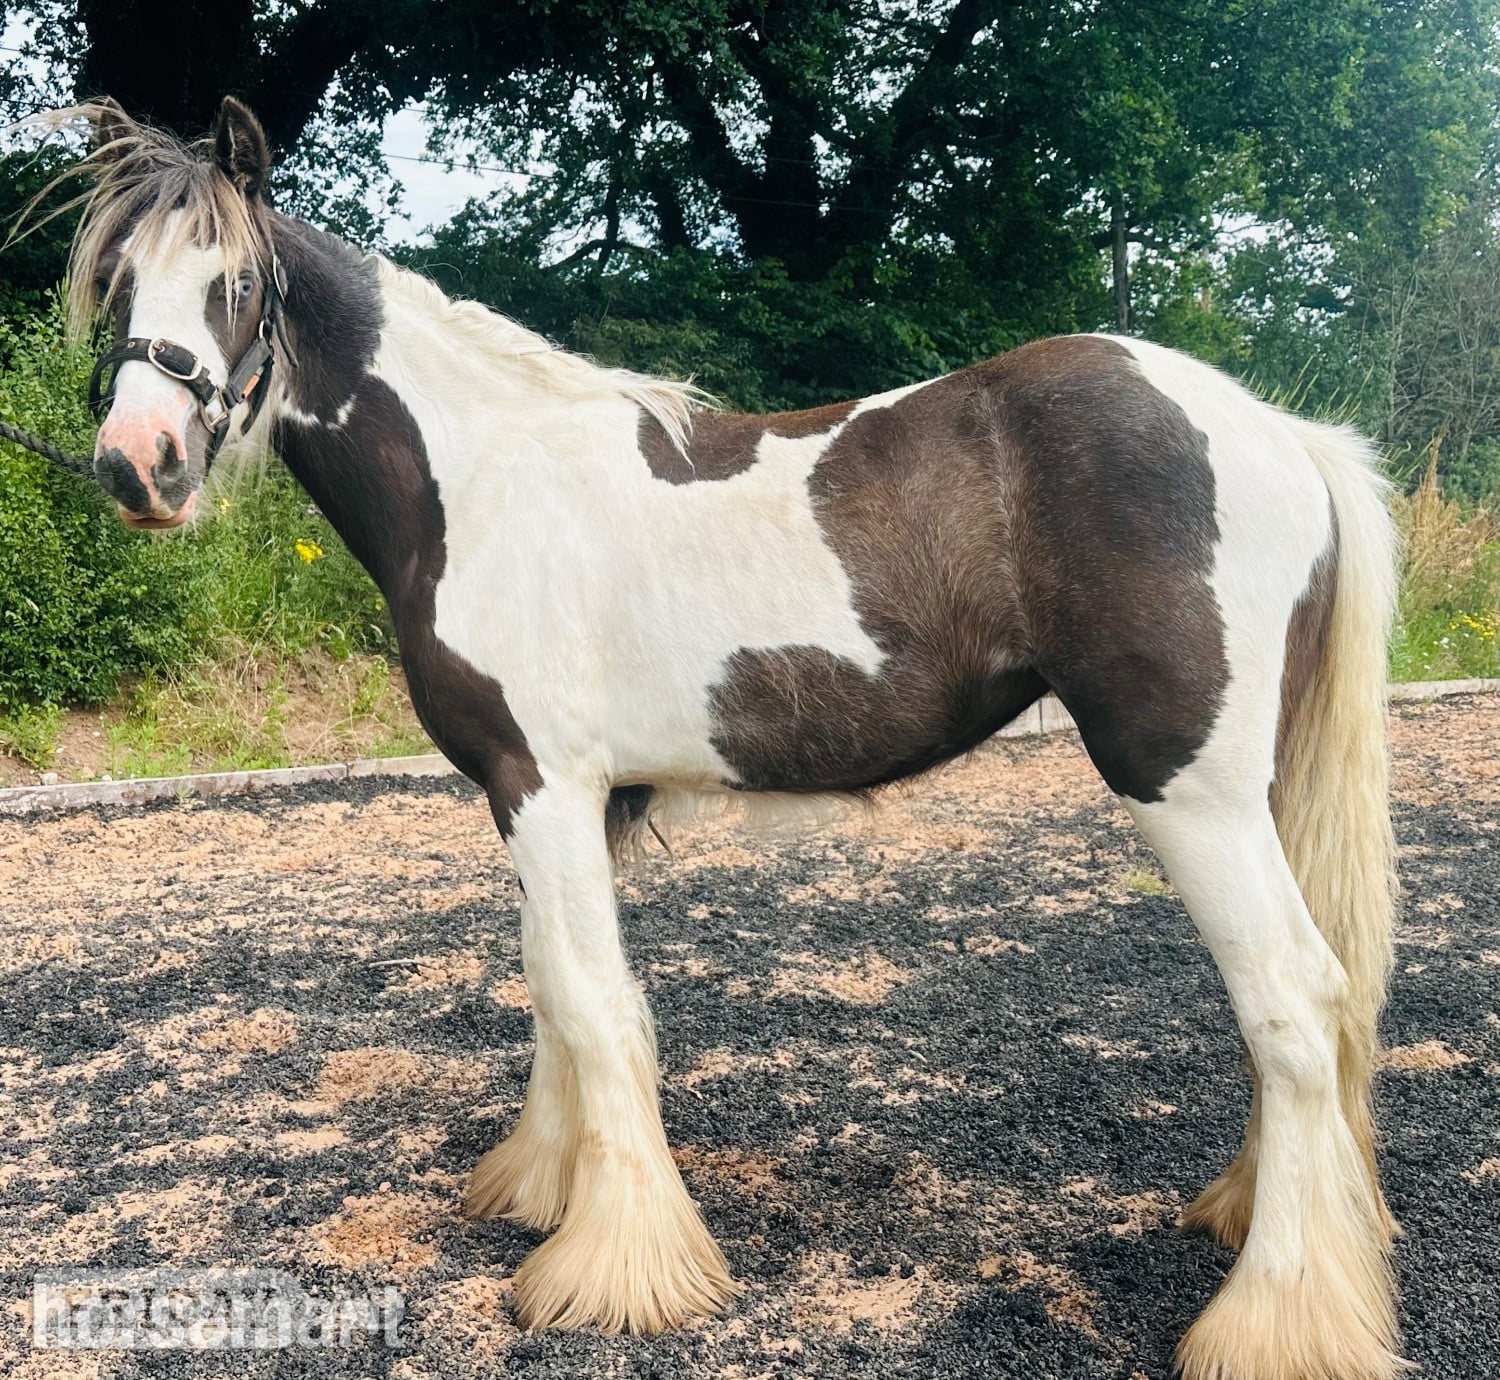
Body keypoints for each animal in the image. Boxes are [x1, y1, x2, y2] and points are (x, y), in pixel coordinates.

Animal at [45, 95, 1404, 1379]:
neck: (482, 483)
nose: (136, 466)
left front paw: (615, 1270)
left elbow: (591, 1001)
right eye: (118, 280)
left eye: (236, 280)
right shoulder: (554, 800)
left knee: (1292, 1003)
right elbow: (552, 986)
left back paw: (1275, 1320)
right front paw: (546, 1188)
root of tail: (1280, 434)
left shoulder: (542, 785)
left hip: (1187, 790)